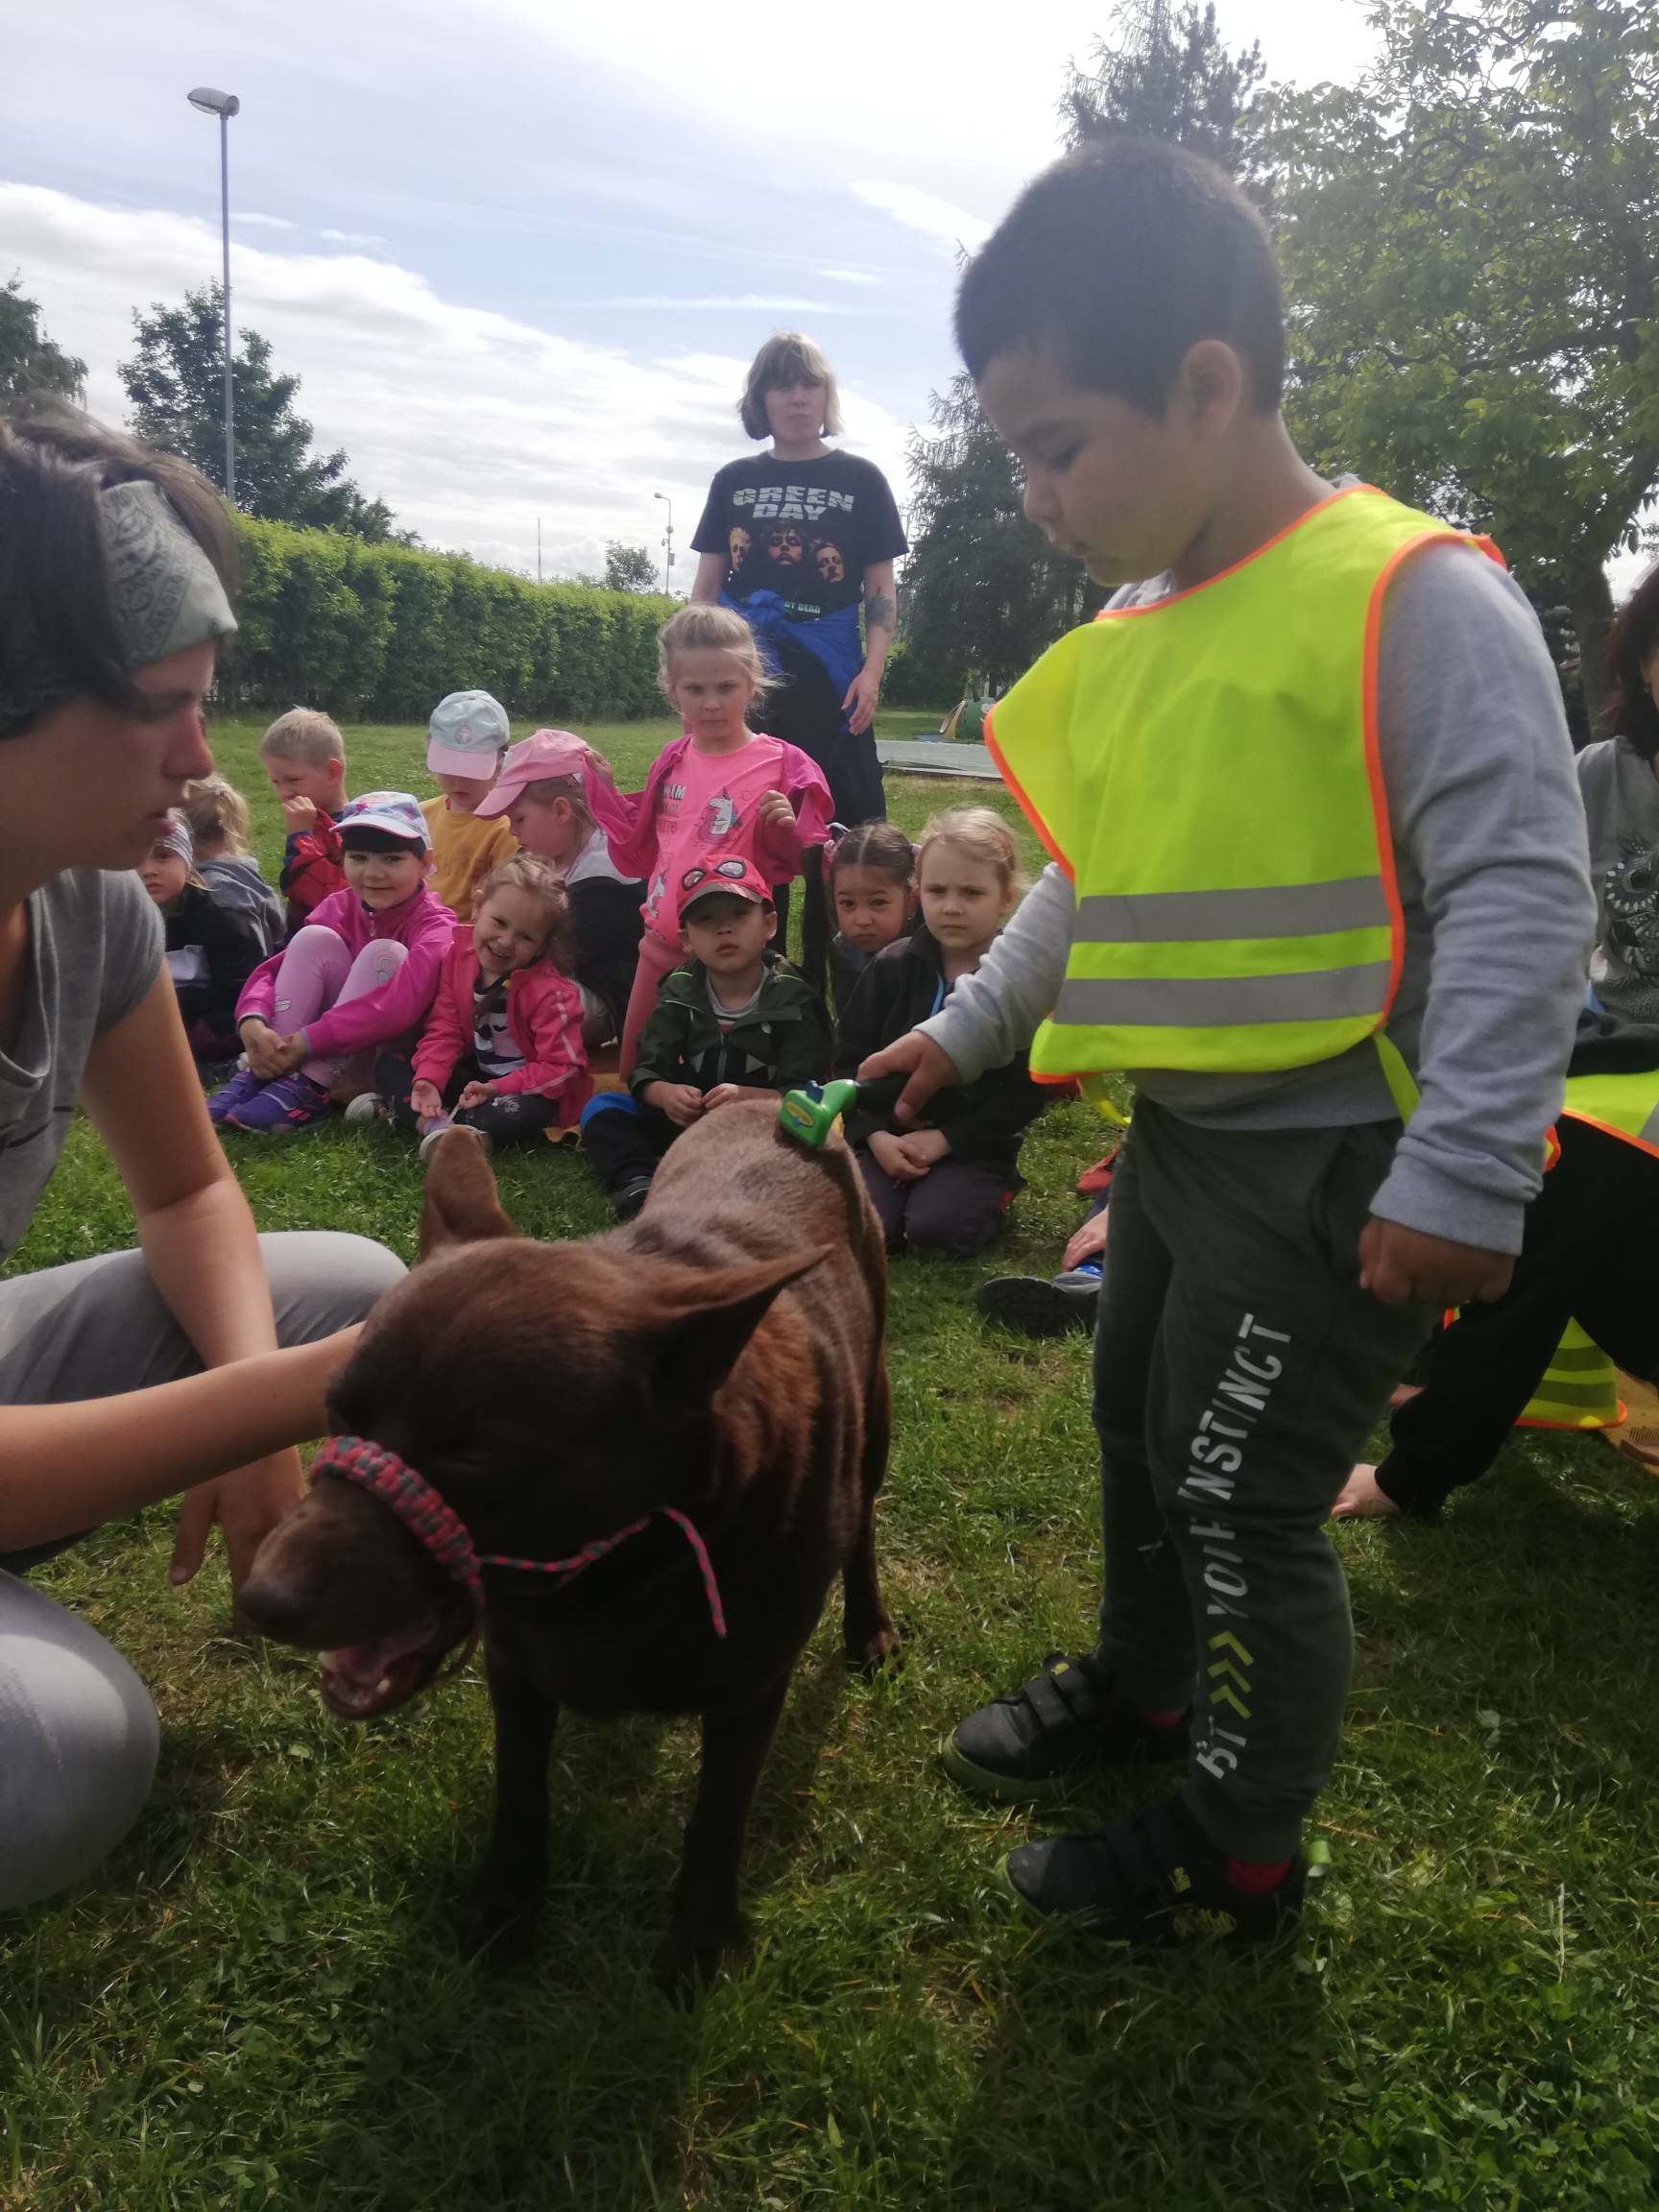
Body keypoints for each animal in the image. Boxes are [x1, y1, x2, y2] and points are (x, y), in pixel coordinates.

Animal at [239, 1106, 902, 1990]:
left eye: (475, 1454)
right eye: (338, 1410)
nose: (260, 1600)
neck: (634, 1567)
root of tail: (769, 1101)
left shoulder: (750, 1692)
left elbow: (716, 1819)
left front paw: (698, 1942)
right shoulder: (516, 1668)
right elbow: (519, 1788)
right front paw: (506, 1903)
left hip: (877, 1415)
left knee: (863, 1523)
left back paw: (869, 1628)